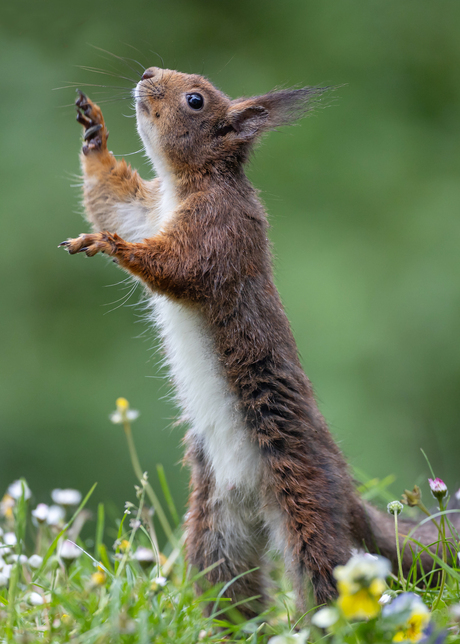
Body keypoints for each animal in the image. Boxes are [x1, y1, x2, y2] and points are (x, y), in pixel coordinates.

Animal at [59, 66, 452, 612]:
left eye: (195, 100)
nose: (147, 73)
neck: (183, 187)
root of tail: (348, 491)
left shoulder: (217, 230)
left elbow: (177, 267)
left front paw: (107, 243)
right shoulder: (145, 210)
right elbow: (110, 202)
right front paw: (94, 134)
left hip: (306, 504)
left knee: (326, 577)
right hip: (218, 528)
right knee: (230, 586)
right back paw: (228, 625)